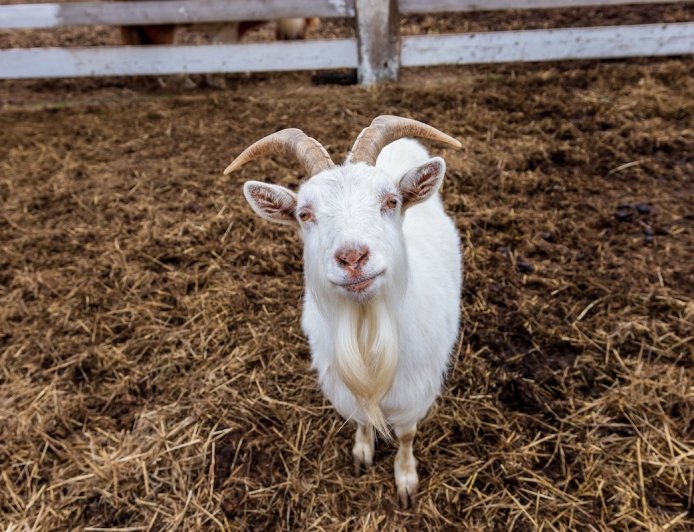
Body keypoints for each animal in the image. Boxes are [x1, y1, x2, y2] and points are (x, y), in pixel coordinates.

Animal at [226, 116, 463, 508]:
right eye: (305, 214)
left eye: (391, 200)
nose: (352, 257)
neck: (367, 326)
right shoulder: (346, 390)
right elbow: (363, 422)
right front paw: (362, 454)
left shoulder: (416, 395)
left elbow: (407, 435)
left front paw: (406, 480)